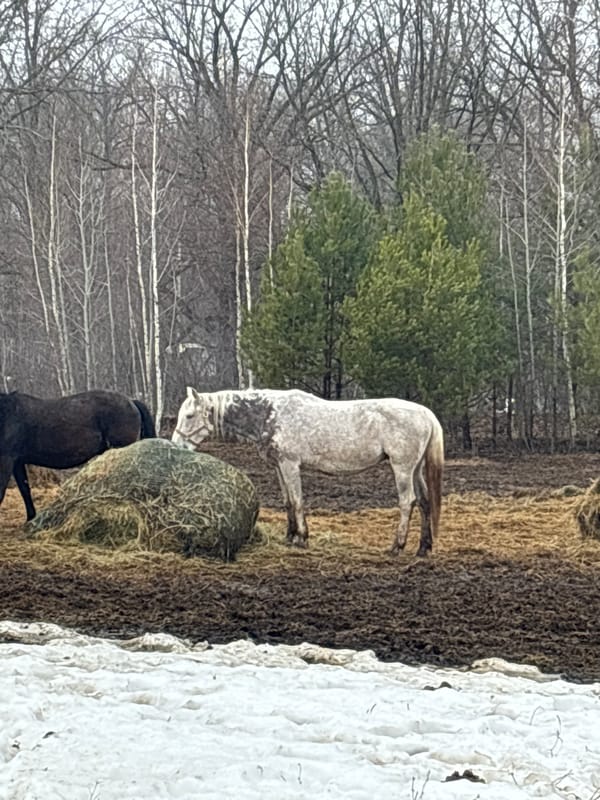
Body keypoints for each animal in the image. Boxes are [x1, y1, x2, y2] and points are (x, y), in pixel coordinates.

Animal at [172, 387, 444, 556]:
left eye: (190, 415)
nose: (177, 445)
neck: (270, 414)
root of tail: (426, 413)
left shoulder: (291, 464)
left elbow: (298, 501)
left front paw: (302, 537)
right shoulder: (279, 466)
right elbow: (288, 502)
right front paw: (290, 536)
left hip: (402, 468)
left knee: (407, 502)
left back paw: (397, 546)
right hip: (416, 470)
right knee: (424, 502)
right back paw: (423, 548)